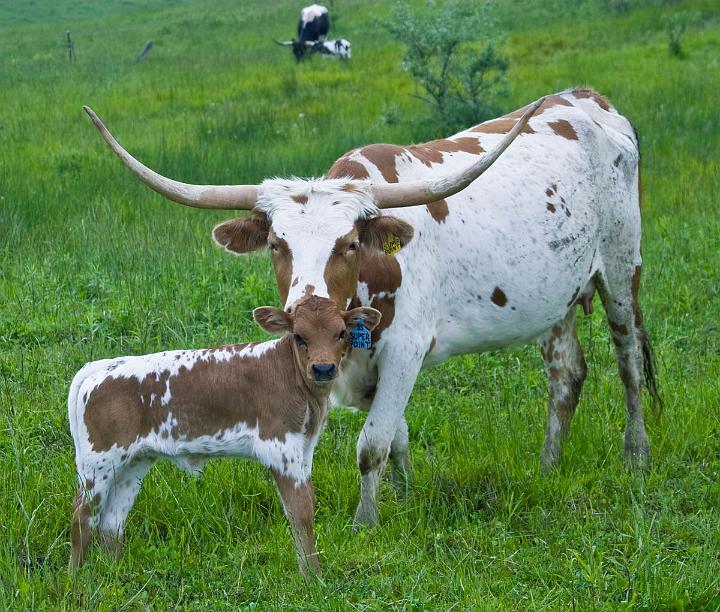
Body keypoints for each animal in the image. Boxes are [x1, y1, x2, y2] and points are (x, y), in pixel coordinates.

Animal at [68, 295, 381, 576]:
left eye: (341, 333)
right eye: (298, 336)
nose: (323, 368)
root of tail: (103, 366)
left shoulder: (304, 448)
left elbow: (306, 504)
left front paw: (311, 574)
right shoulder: (280, 446)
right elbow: (300, 510)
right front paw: (313, 579)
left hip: (133, 462)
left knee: (112, 521)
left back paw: (114, 577)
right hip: (99, 461)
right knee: (82, 517)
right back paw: (77, 582)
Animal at [83, 88, 662, 530]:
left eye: (348, 244)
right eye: (276, 244)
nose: (307, 312)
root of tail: (587, 99)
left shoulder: (405, 350)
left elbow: (373, 442)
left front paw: (367, 522)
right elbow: (397, 435)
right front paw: (403, 497)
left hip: (620, 267)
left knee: (629, 362)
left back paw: (636, 454)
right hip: (555, 299)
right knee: (567, 376)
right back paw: (548, 465)